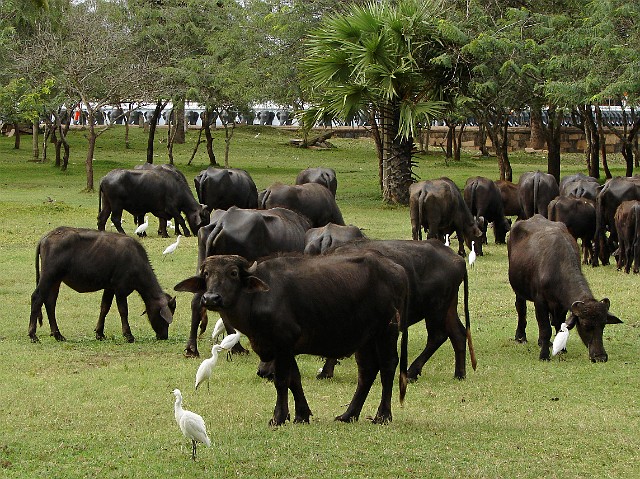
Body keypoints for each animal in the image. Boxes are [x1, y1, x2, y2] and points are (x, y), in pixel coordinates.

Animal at [28, 227, 175, 344]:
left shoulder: (109, 288)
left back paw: (58, 335)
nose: (164, 336)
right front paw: (128, 335)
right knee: (37, 298)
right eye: (164, 319)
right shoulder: (120, 290)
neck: (135, 260)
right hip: (48, 276)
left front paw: (100, 333)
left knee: (50, 303)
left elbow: (104, 308)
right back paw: (33, 335)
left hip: (56, 281)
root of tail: (46, 237)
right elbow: (123, 311)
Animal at [174, 253, 410, 426]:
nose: (210, 298)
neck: (256, 299)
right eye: (206, 274)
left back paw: (382, 416)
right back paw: (348, 415)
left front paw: (278, 417)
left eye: (233, 273)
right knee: (367, 371)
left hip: (387, 331)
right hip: (365, 338)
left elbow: (281, 381)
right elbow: (294, 380)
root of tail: (398, 271)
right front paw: (301, 415)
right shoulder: (286, 348)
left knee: (388, 366)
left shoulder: (282, 344)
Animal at [302, 240, 478, 382]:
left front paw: (325, 372)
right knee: (458, 334)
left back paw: (412, 372)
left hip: (436, 309)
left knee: (438, 336)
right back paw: (459, 374)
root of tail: (457, 259)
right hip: (448, 307)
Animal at [508, 216, 624, 362]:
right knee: (521, 309)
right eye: (585, 325)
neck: (557, 267)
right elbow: (545, 328)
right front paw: (544, 355)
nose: (600, 357)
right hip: (519, 290)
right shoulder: (540, 301)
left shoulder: (562, 305)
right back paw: (520, 336)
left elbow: (559, 325)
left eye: (603, 325)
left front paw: (561, 349)